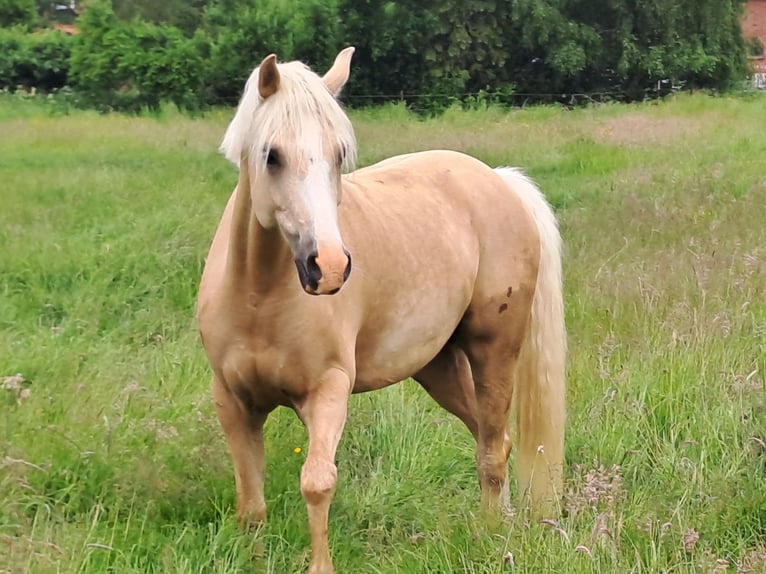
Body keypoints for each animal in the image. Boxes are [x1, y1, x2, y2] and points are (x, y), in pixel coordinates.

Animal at [197, 47, 566, 574]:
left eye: (338, 154)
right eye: (272, 155)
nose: (329, 266)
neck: (257, 297)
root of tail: (498, 180)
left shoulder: (328, 391)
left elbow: (317, 483)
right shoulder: (232, 401)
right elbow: (251, 502)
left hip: (494, 349)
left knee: (493, 448)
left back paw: (492, 535)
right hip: (438, 365)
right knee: (489, 437)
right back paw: (503, 521)